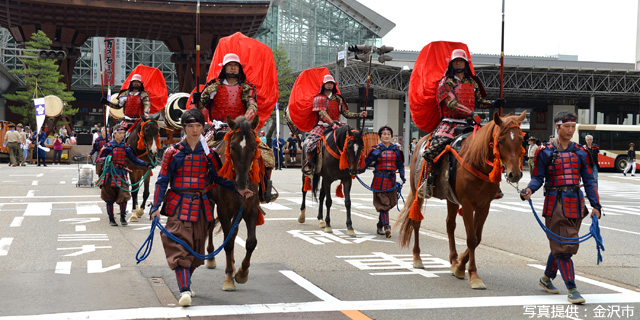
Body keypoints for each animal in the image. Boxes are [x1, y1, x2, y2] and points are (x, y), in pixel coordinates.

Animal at [208, 114, 262, 290]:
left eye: (253, 147)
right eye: (232, 147)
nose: (241, 184)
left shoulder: (250, 208)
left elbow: (251, 242)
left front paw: (242, 273)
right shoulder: (223, 209)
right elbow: (228, 243)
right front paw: (229, 278)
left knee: (233, 232)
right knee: (211, 226)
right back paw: (211, 258)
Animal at [398, 111, 528, 288]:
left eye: (521, 140)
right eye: (500, 140)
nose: (515, 174)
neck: (477, 162)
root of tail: (421, 141)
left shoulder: (484, 206)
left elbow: (477, 238)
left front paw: (459, 264)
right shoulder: (467, 204)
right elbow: (471, 239)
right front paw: (472, 274)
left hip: (451, 199)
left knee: (450, 226)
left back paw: (453, 261)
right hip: (417, 190)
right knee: (416, 222)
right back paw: (417, 258)